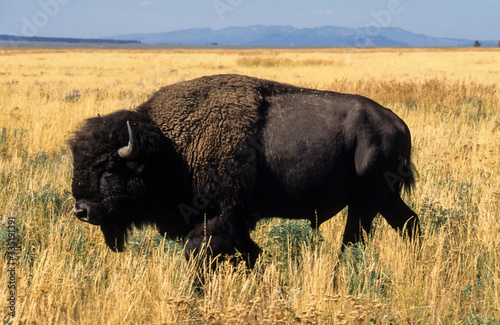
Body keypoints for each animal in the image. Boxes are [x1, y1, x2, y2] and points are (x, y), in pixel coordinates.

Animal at [70, 74, 420, 268]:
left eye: (110, 168)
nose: (81, 211)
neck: (171, 149)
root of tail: (398, 123)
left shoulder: (219, 220)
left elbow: (198, 254)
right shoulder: (235, 227)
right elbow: (250, 255)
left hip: (366, 202)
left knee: (354, 240)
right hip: (383, 198)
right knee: (409, 223)